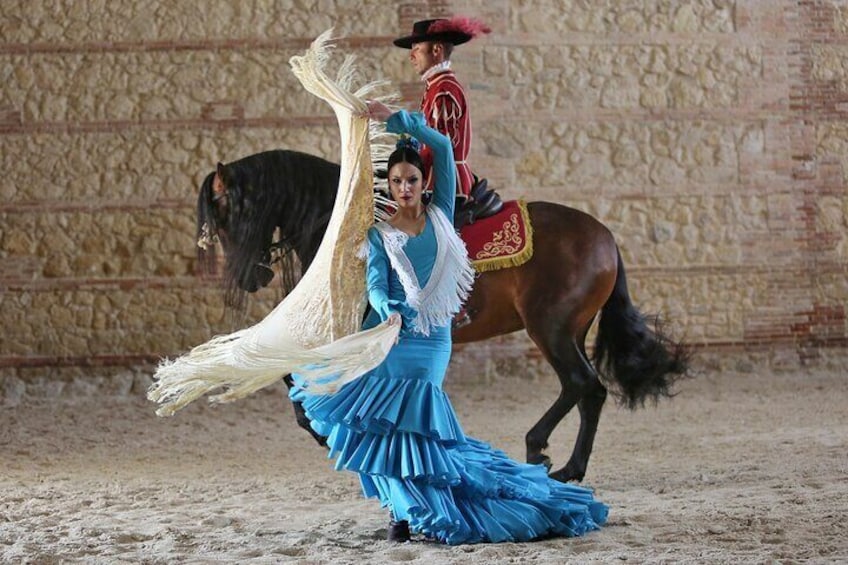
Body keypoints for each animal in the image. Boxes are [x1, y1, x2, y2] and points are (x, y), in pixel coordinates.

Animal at [199, 149, 688, 480]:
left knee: (582, 384)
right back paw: (566, 464)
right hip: (569, 330)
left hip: (550, 329)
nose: (248, 276)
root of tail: (604, 236)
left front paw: (327, 430)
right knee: (589, 392)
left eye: (226, 212)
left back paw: (544, 453)